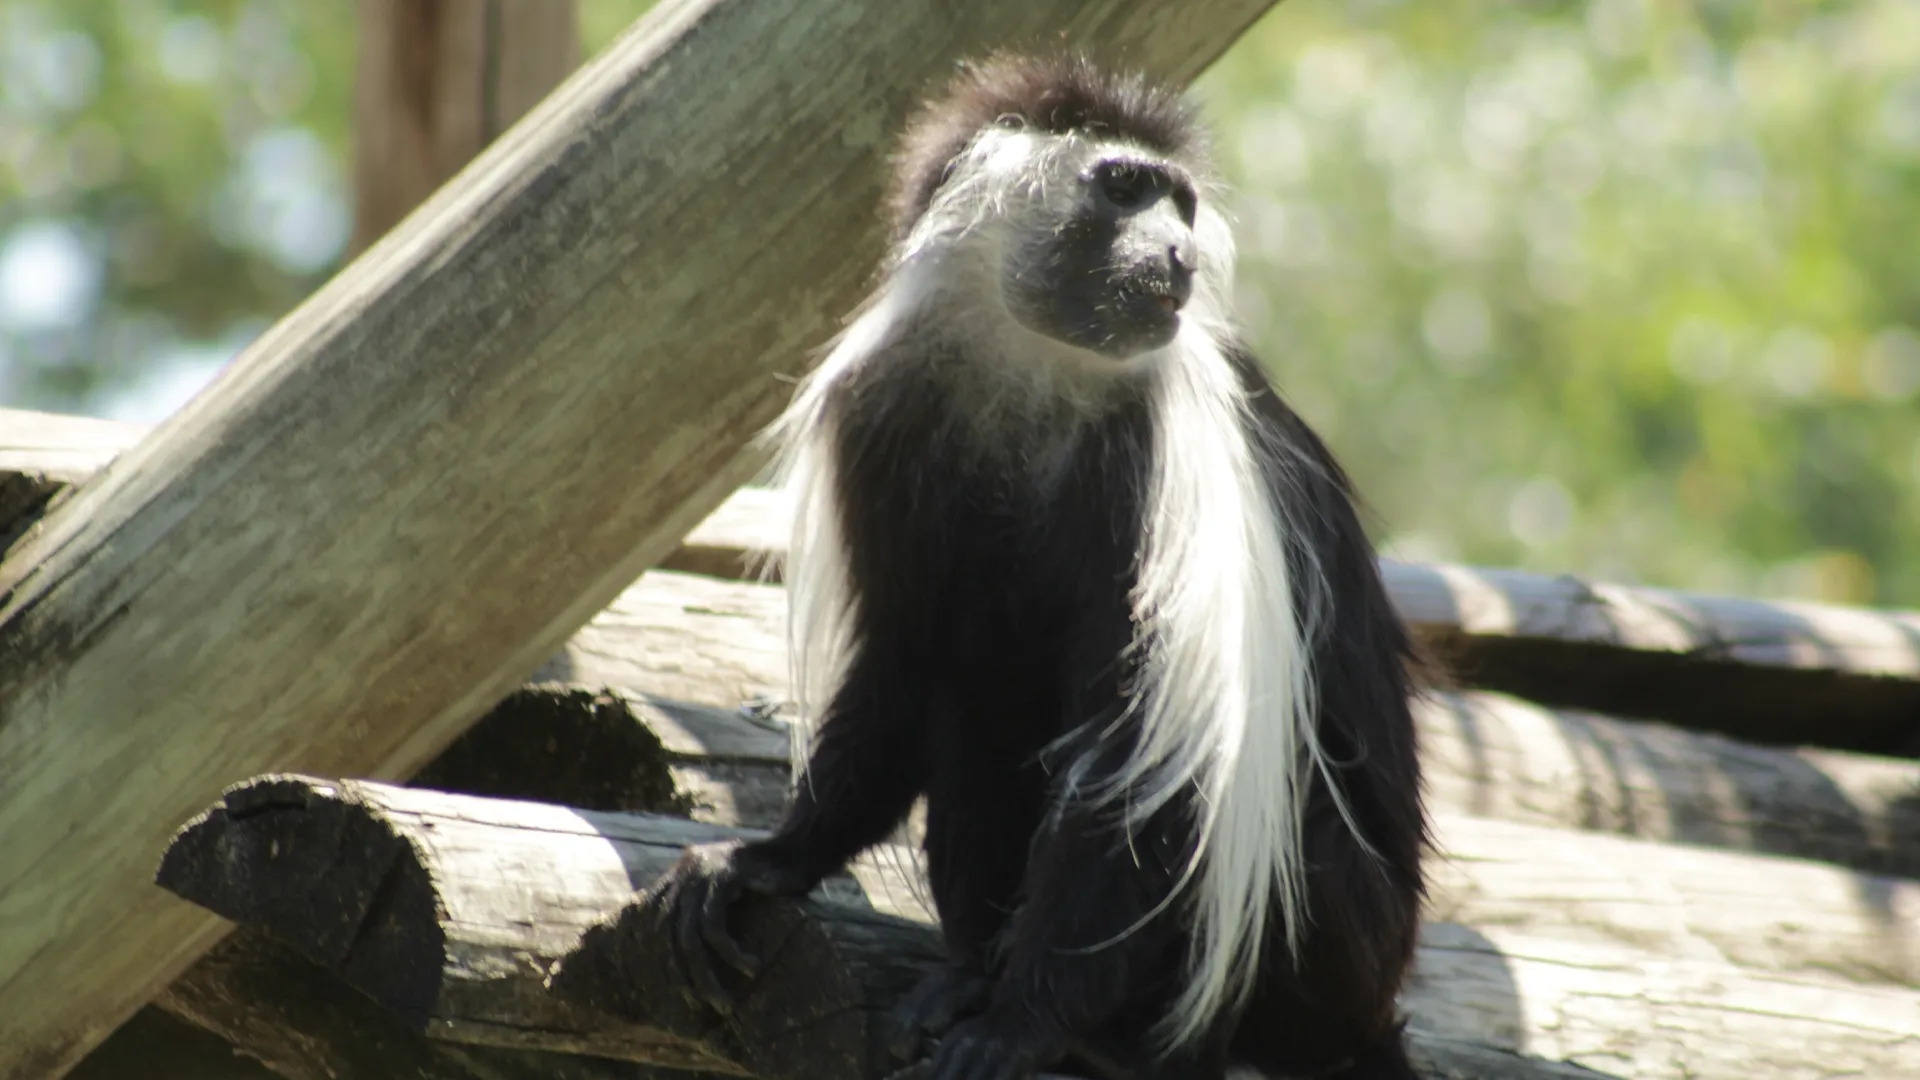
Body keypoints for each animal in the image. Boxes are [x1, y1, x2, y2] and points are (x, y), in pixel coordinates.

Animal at [643, 53, 1428, 1080]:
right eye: (1125, 187)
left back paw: (1098, 1036)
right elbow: (902, 659)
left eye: (1181, 205)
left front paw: (1023, 1020)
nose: (1180, 255)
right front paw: (767, 860)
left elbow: (1142, 753)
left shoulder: (1166, 460)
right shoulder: (887, 409)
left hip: (1332, 933)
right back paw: (973, 971)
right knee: (971, 703)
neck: (1036, 367)